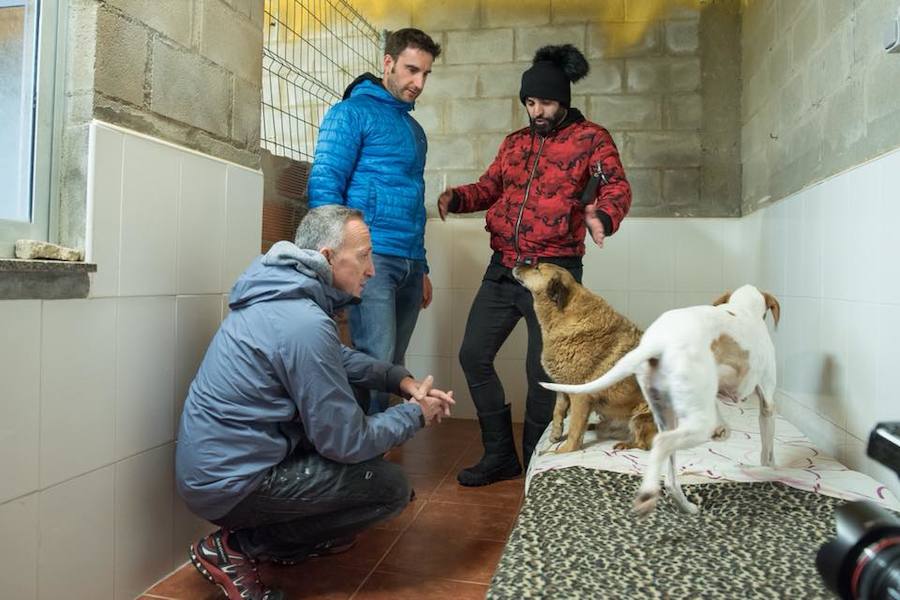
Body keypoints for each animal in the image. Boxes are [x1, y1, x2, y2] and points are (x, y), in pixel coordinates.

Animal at [512, 264, 652, 452]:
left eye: (537, 268)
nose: (517, 262)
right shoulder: (561, 387)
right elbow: (558, 411)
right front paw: (556, 433)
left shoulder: (580, 396)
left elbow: (574, 429)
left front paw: (562, 451)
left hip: (641, 416)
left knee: (644, 444)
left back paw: (625, 445)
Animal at [540, 286, 780, 516]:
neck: (743, 307)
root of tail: (659, 342)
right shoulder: (767, 404)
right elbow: (767, 450)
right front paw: (770, 470)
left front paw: (722, 431)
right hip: (688, 424)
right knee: (661, 444)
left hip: (664, 415)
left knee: (669, 470)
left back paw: (684, 504)